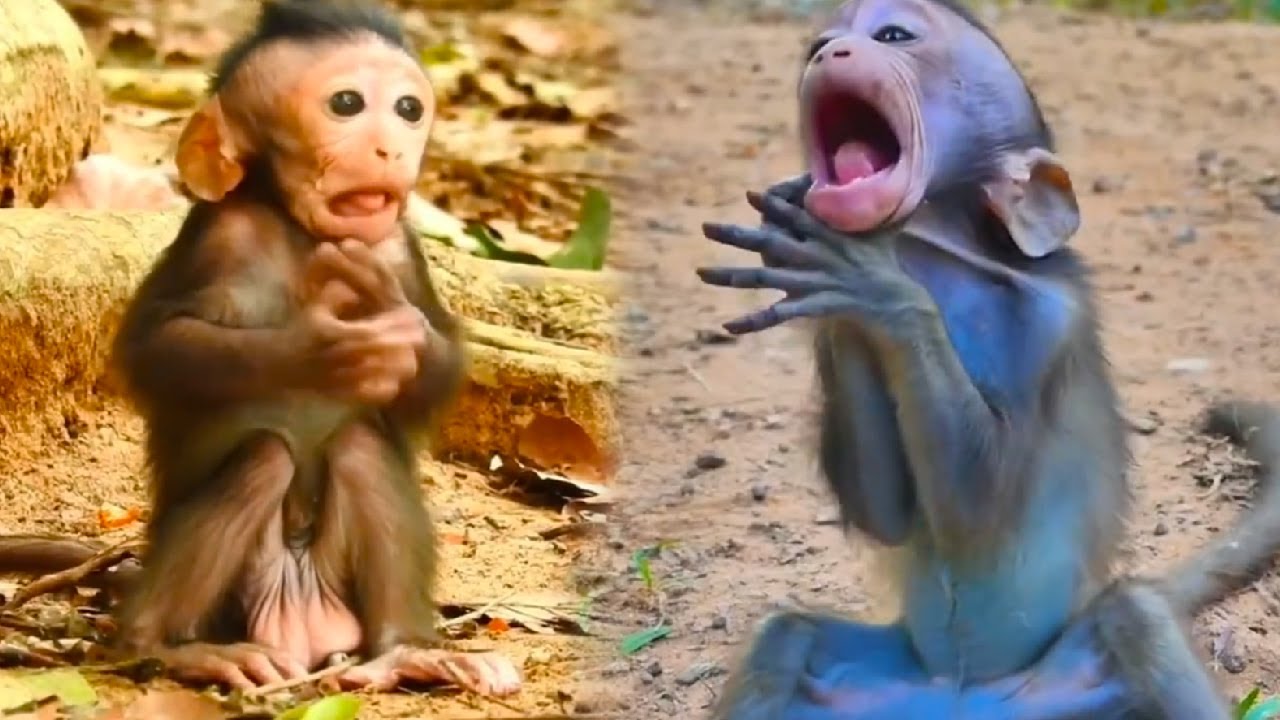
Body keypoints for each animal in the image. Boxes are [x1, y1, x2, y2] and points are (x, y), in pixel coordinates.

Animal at [28, 0, 523, 697]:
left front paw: (400, 332)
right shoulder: (220, 233)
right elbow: (156, 348)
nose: (390, 147)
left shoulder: (395, 246)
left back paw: (407, 652)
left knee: (361, 447)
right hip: (234, 600)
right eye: (347, 103)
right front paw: (319, 348)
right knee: (263, 458)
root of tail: (300, 619)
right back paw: (172, 646)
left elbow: (442, 360)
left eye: (408, 108)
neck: (297, 228)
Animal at [693, 0, 1280, 717]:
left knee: (1135, 617)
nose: (828, 55)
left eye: (893, 36)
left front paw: (871, 282)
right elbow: (885, 513)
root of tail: (968, 700)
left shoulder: (1053, 316)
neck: (946, 258)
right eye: (820, 45)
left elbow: (979, 511)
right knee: (782, 638)